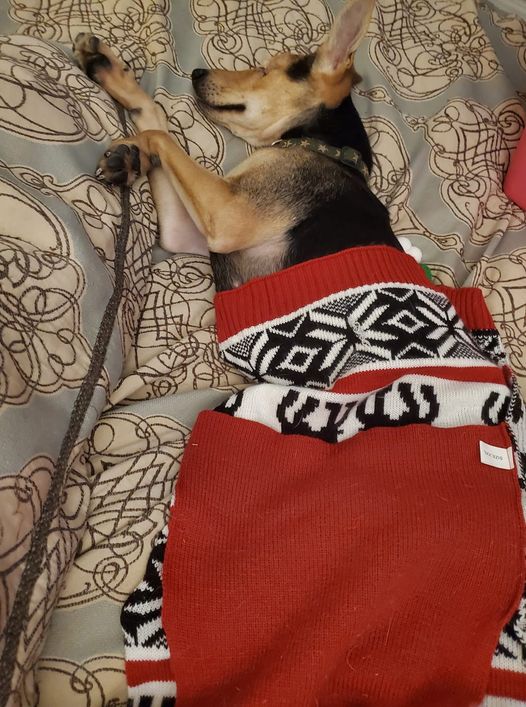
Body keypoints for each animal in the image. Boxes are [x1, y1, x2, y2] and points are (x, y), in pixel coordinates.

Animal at [73, 0, 401, 292]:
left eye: (265, 71)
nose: (197, 73)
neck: (325, 148)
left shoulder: (227, 214)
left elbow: (162, 136)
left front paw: (132, 148)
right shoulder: (184, 230)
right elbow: (154, 113)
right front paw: (103, 66)